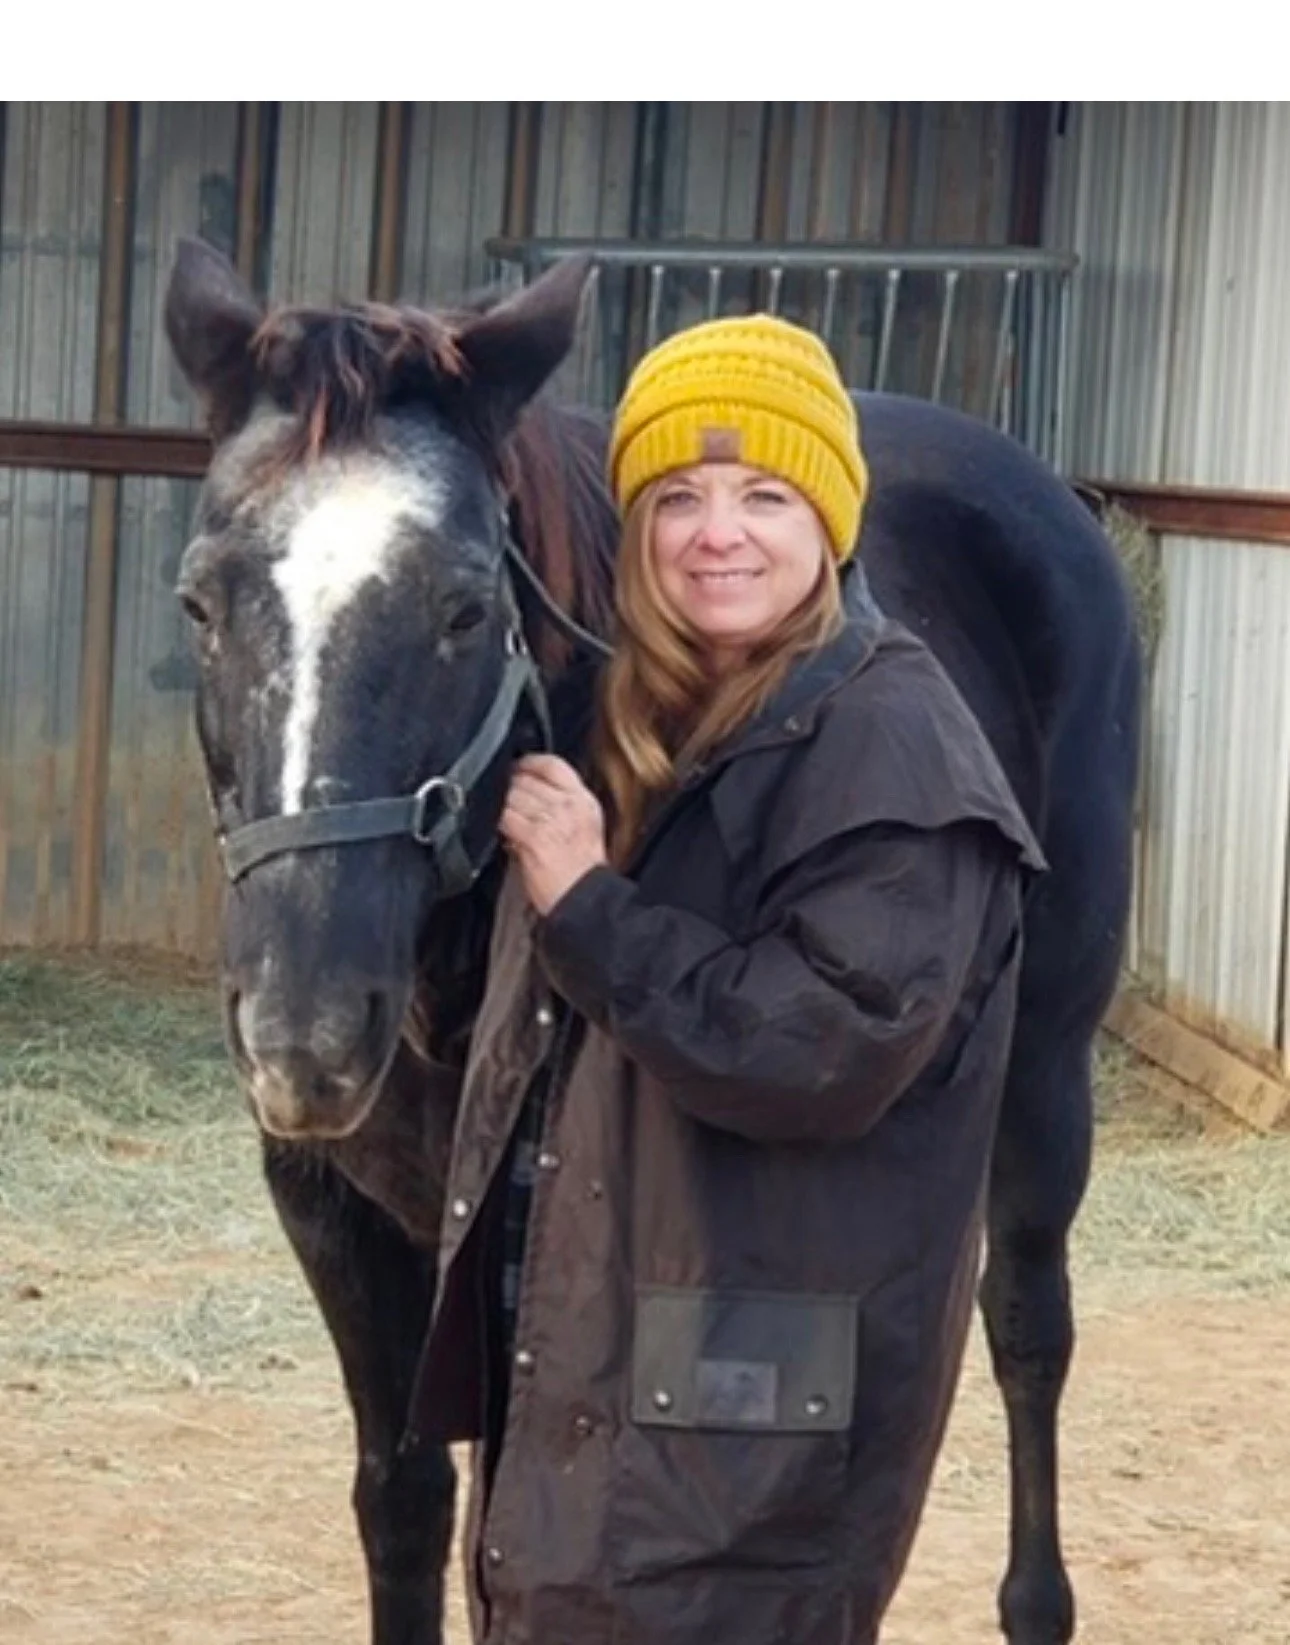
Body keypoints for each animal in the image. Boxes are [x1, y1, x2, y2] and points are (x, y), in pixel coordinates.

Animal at [163, 235, 1141, 1645]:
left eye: (466, 609)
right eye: (200, 603)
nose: (305, 1037)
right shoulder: (337, 1205)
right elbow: (408, 1500)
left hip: (1050, 1068)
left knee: (1025, 1325)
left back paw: (1037, 1602)